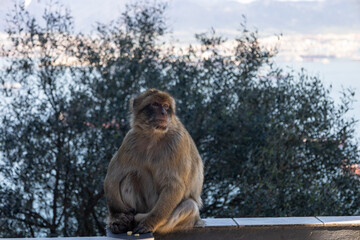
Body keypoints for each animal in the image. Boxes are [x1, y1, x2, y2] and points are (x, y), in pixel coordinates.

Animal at [104, 88, 205, 234]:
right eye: (155, 104)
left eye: (166, 106)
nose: (163, 112)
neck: (153, 135)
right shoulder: (130, 140)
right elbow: (113, 176)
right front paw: (117, 216)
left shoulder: (177, 143)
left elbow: (174, 186)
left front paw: (149, 222)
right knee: (129, 177)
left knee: (189, 205)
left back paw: (140, 219)